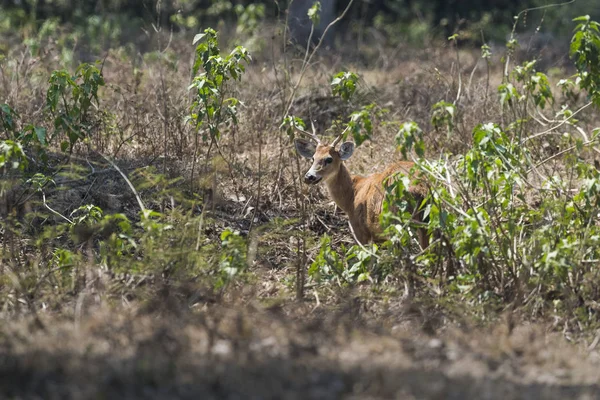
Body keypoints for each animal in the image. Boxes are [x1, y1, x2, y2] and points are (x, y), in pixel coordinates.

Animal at [292, 126, 428, 250]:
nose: (309, 176)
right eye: (313, 158)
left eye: (329, 159)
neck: (352, 195)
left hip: (397, 221)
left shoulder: (360, 230)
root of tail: (421, 189)